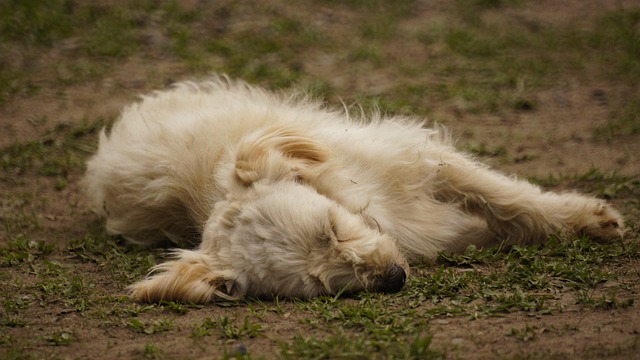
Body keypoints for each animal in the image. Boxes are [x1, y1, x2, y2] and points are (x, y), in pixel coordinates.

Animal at [81, 76, 624, 304]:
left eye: (332, 229)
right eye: (319, 285)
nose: (394, 278)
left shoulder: (423, 159)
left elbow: (508, 199)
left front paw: (583, 220)